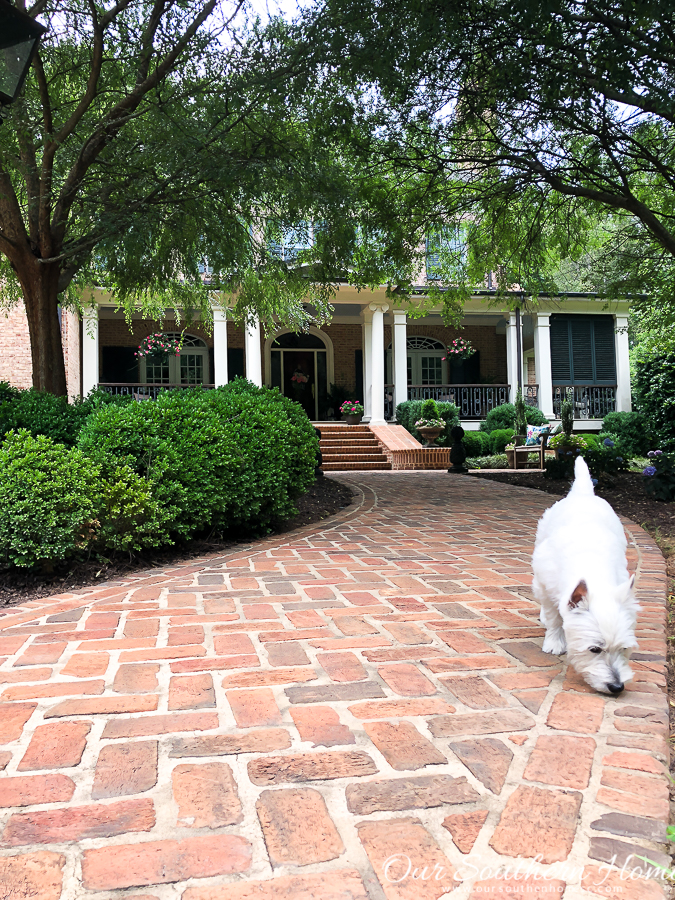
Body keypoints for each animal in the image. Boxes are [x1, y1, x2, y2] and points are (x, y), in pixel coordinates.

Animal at [532, 458, 640, 696]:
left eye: (624, 648)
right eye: (594, 649)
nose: (617, 687)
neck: (594, 570)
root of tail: (583, 493)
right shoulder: (545, 583)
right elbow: (554, 617)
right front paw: (554, 642)